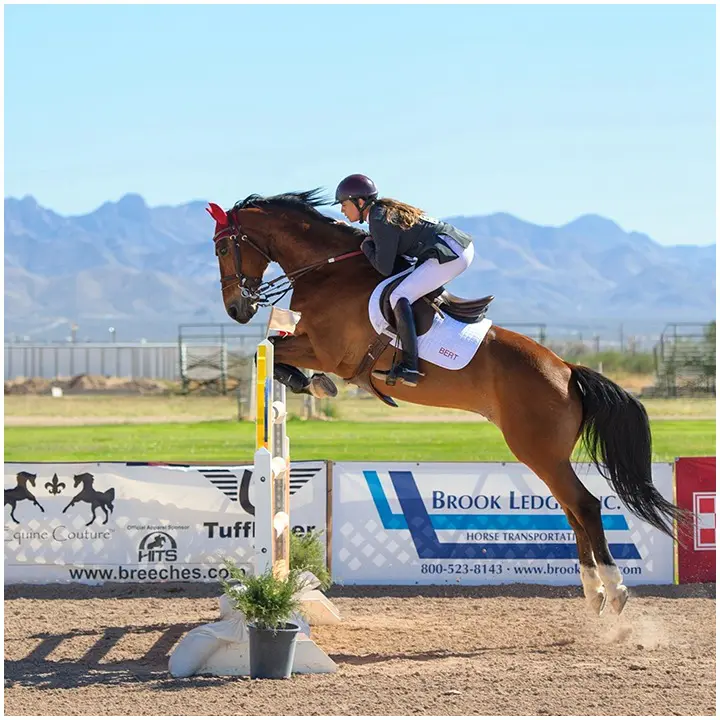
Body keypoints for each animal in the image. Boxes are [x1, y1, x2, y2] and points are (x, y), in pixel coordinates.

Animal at [207, 187, 688, 612]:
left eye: (222, 248)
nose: (236, 309)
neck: (326, 271)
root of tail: (567, 371)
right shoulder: (312, 344)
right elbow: (271, 349)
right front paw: (308, 382)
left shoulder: (328, 350)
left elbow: (268, 349)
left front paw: (308, 381)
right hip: (548, 454)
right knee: (572, 510)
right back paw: (594, 594)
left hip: (537, 449)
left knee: (585, 505)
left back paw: (616, 590)